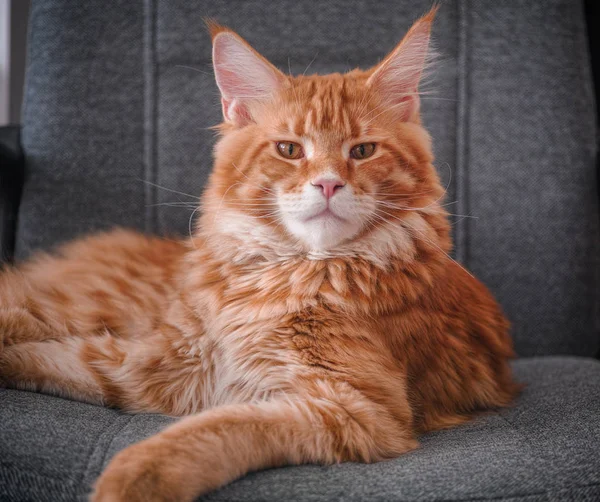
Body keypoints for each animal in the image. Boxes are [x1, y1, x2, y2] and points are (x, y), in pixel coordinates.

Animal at [0, 7, 516, 502]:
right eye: (289, 149)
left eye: (363, 150)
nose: (328, 184)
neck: (290, 272)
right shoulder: (163, 362)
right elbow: (60, 358)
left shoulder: (351, 406)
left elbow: (210, 431)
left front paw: (130, 481)